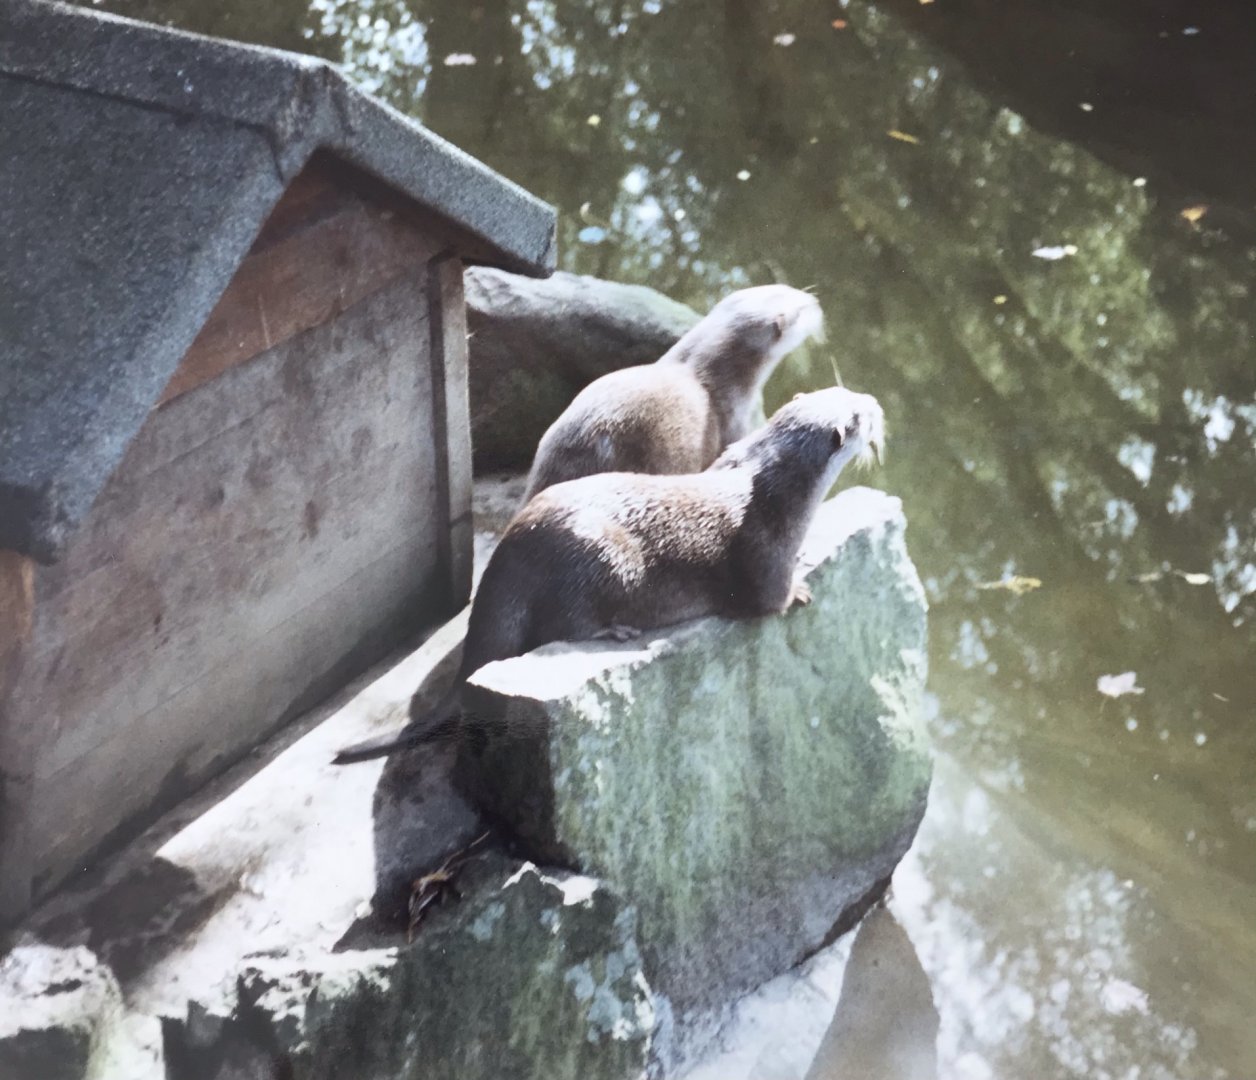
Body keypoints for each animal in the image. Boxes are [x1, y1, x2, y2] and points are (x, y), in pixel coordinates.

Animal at [334, 386, 884, 764]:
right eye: (857, 415)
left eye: (846, 392)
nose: (875, 402)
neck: (770, 487)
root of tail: (508, 559)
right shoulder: (764, 550)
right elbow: (768, 600)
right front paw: (800, 588)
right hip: (597, 560)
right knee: (559, 627)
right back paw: (615, 631)